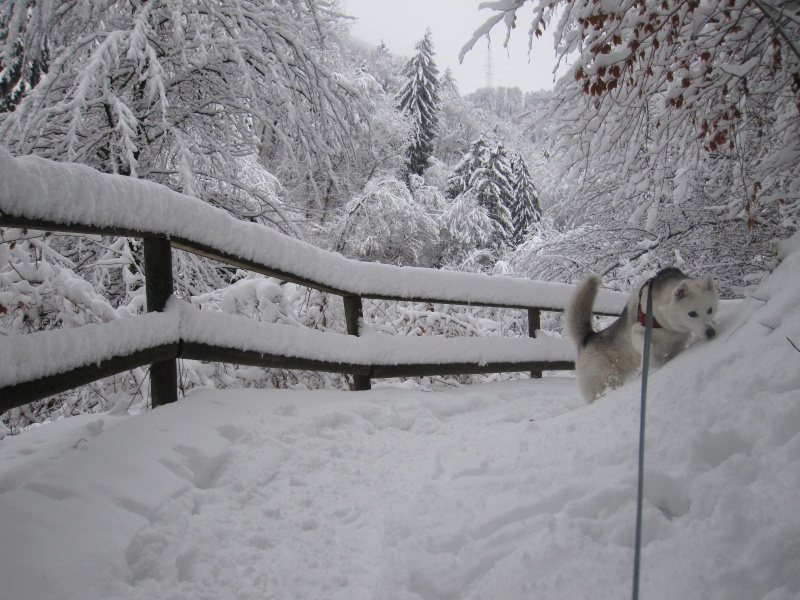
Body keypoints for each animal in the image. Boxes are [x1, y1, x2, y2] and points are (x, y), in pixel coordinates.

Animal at [564, 268, 720, 404]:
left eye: (710, 310)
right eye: (692, 313)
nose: (711, 332)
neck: (665, 323)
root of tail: (587, 338)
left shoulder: (679, 343)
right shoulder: (637, 331)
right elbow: (650, 352)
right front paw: (656, 362)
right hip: (605, 380)